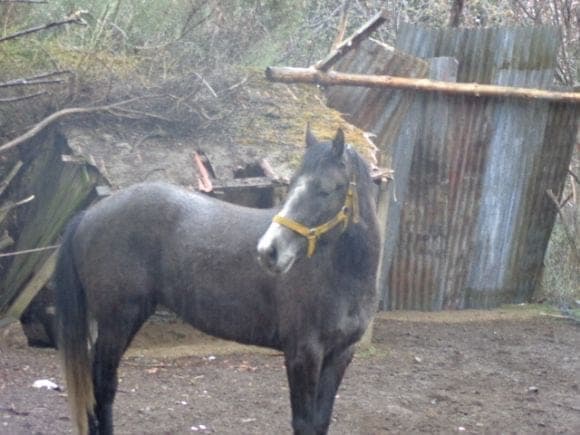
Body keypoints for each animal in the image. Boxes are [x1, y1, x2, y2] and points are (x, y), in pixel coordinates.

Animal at [55, 126, 381, 435]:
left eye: (327, 190)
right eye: (291, 186)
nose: (268, 251)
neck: (340, 275)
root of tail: (87, 214)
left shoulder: (340, 355)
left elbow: (321, 421)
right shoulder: (303, 354)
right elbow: (304, 423)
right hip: (117, 321)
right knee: (103, 387)